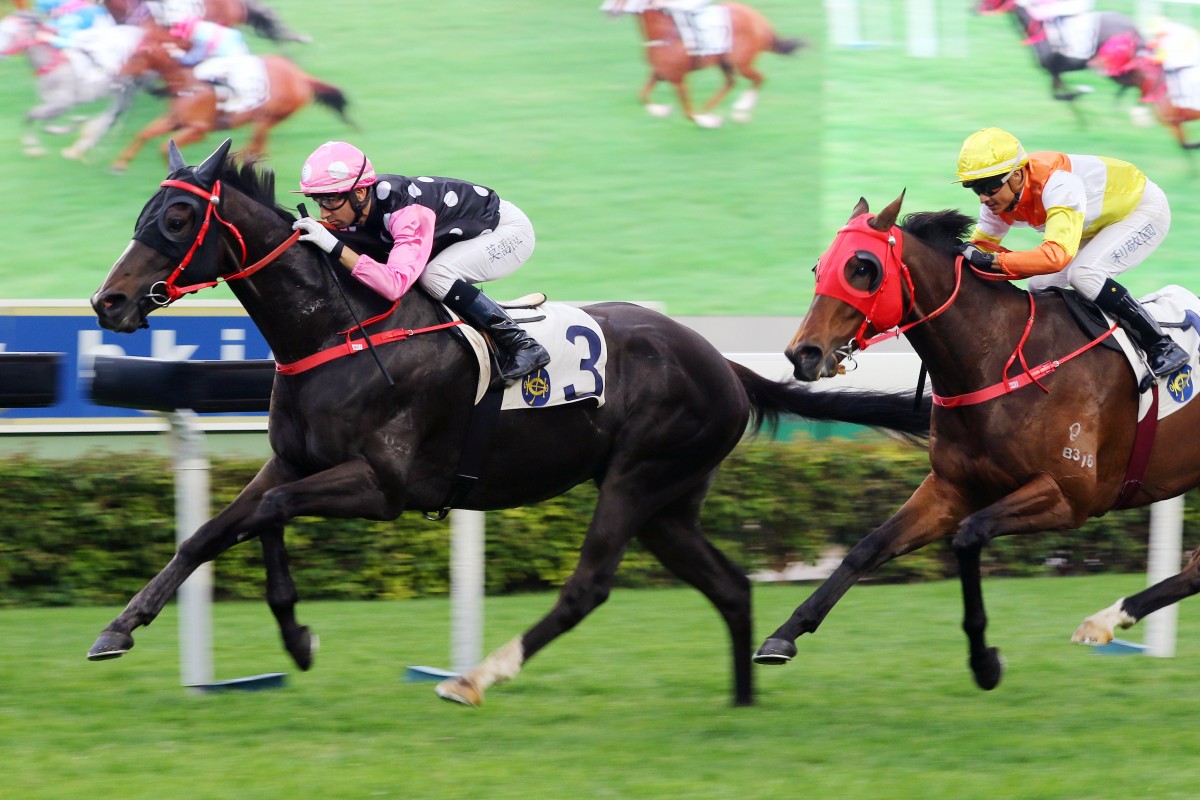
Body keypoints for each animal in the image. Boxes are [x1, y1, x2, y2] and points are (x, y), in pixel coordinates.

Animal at [88, 140, 931, 710]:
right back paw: (741, 701)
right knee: (728, 587)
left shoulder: (383, 486)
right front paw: (123, 628)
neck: (340, 329)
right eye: (140, 213)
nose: (109, 302)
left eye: (177, 216)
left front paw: (297, 638)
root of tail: (724, 364)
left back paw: (475, 679)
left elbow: (265, 514)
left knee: (588, 585)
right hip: (669, 504)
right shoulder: (294, 462)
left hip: (638, 478)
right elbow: (216, 531)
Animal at [111, 31, 350, 172]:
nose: (117, 75)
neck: (186, 82)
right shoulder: (174, 120)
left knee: (254, 146)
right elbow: (144, 134)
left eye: (137, 56)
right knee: (258, 147)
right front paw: (120, 164)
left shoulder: (198, 129)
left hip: (267, 117)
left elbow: (162, 147)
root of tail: (301, 76)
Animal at [600, 0, 806, 127]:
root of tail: (760, 20)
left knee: (759, 79)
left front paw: (708, 122)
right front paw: (662, 110)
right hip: (725, 62)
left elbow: (688, 113)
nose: (604, 10)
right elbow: (642, 95)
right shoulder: (659, 72)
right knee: (731, 82)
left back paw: (739, 112)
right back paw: (709, 109)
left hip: (742, 64)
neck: (664, 32)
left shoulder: (677, 78)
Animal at [753, 194, 1200, 690]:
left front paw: (984, 662)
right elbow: (866, 548)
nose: (803, 354)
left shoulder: (1069, 497)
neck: (999, 359)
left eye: (863, 268)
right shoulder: (950, 488)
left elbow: (968, 537)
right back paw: (1104, 621)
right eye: (820, 267)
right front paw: (783, 635)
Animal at [974, 0, 1142, 103]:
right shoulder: (1055, 71)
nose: (971, 9)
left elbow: (1059, 95)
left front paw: (1082, 91)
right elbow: (1058, 95)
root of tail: (1133, 26)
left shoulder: (1054, 68)